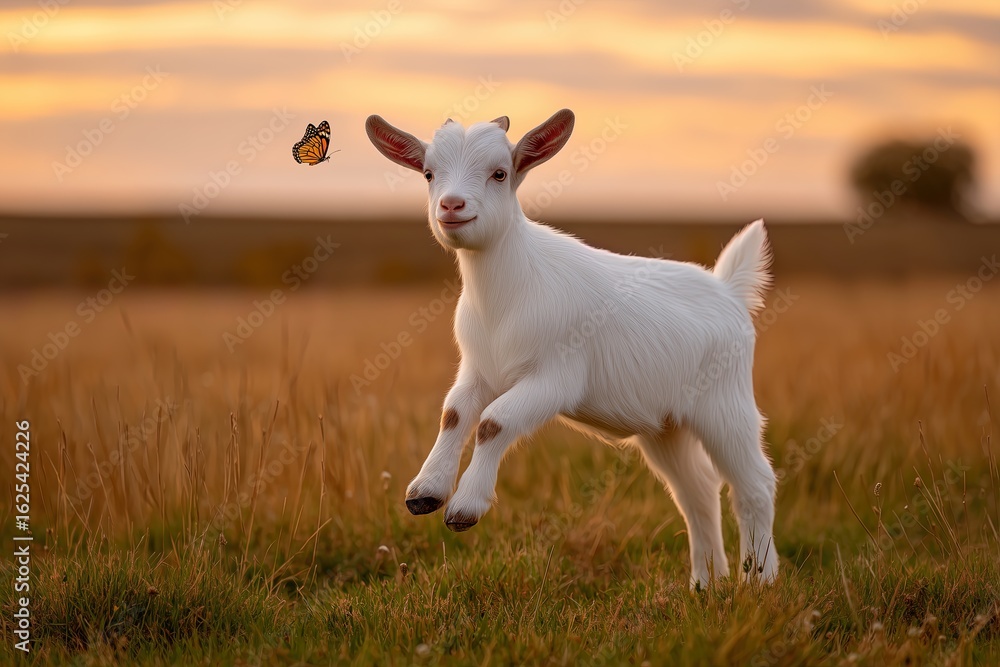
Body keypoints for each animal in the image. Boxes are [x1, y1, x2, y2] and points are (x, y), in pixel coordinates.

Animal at [365, 109, 778, 586]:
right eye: (429, 174)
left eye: (500, 173)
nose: (451, 206)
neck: (504, 294)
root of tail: (729, 290)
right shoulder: (479, 370)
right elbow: (454, 413)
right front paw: (426, 491)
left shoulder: (555, 377)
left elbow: (494, 422)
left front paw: (465, 507)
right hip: (666, 426)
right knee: (698, 491)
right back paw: (705, 584)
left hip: (724, 404)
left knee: (754, 485)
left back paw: (760, 580)